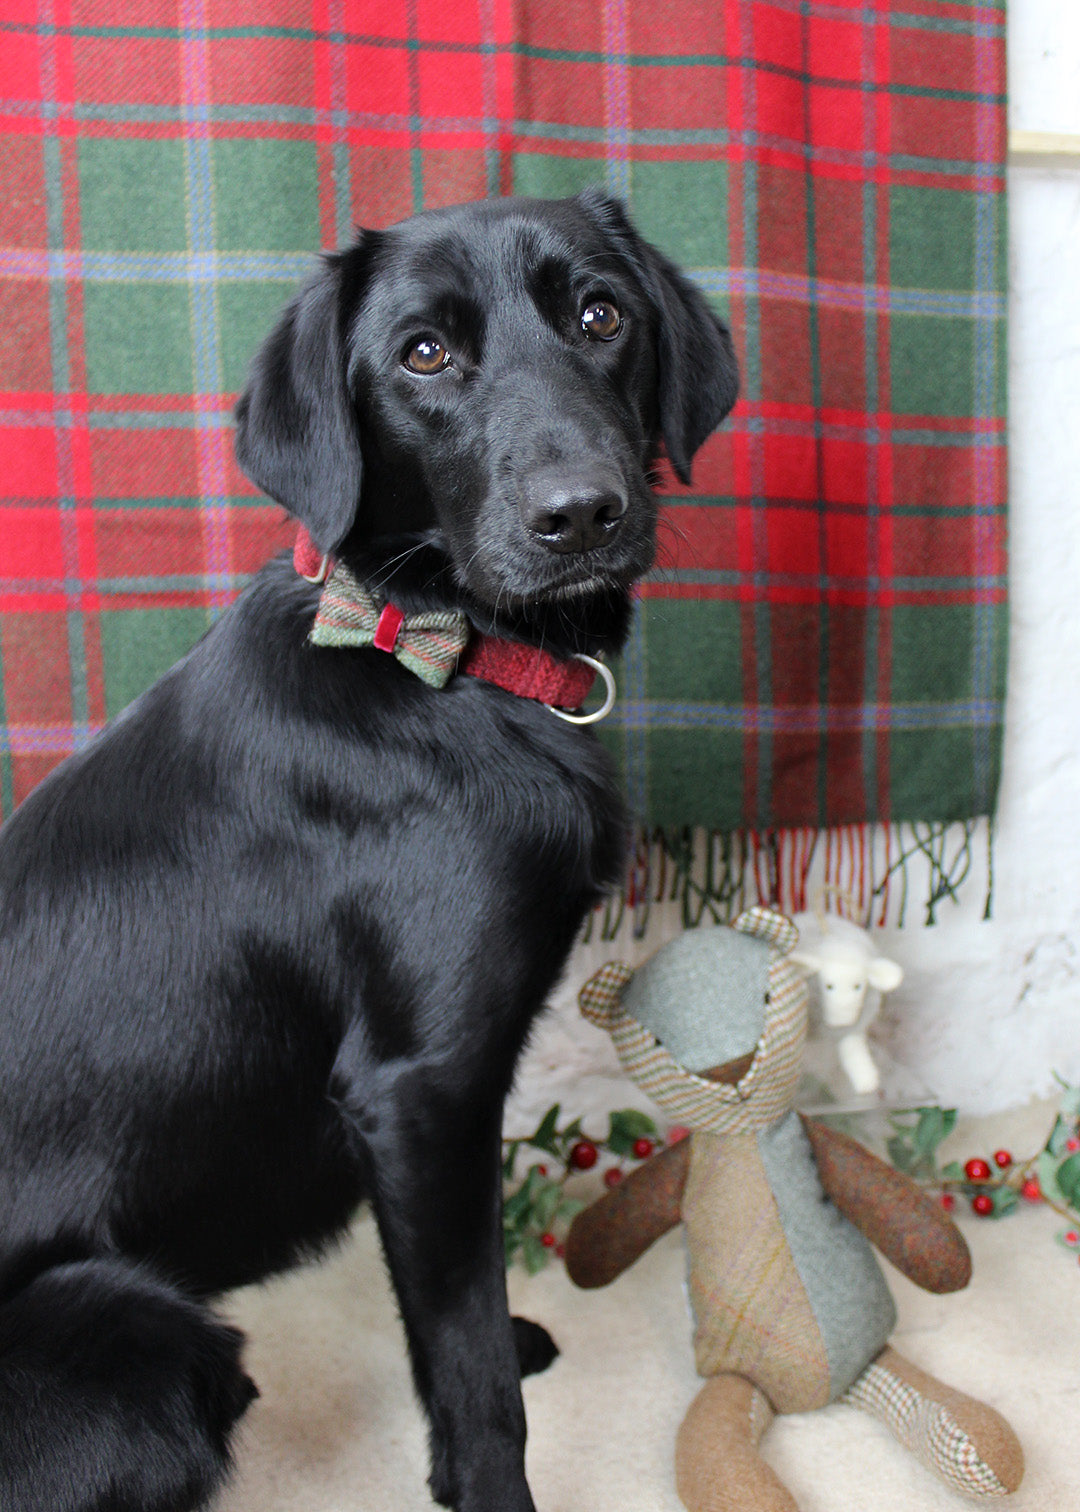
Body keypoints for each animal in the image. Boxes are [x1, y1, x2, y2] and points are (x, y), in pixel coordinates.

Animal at [0, 189, 732, 1512]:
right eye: (424, 354)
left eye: (601, 315)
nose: (581, 514)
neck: (437, 654)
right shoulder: (420, 1087)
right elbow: (470, 1368)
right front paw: (489, 1480)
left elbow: (449, 1320)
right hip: (141, 1335)